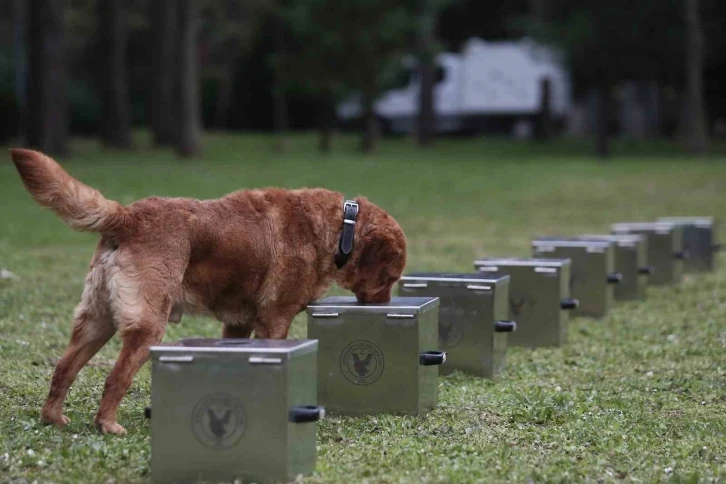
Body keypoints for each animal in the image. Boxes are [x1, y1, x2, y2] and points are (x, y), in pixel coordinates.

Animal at [8, 147, 406, 434]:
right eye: (389, 279)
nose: (384, 308)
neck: (341, 229)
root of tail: (127, 215)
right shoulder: (275, 319)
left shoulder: (239, 324)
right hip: (147, 325)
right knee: (115, 377)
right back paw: (108, 425)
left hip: (97, 320)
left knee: (64, 367)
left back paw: (53, 418)